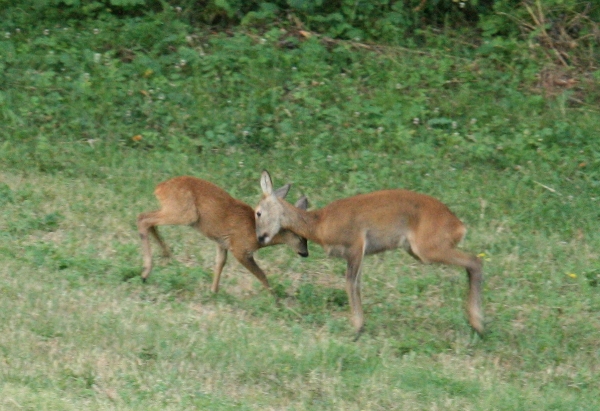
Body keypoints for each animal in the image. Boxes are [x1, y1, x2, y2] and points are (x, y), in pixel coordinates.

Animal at [138, 175, 308, 294]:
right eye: (298, 235)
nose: (305, 253)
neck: (254, 231)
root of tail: (159, 188)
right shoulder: (240, 249)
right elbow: (262, 275)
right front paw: (276, 301)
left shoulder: (222, 243)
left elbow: (220, 262)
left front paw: (213, 291)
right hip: (185, 213)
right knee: (143, 218)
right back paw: (145, 273)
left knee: (147, 219)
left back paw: (165, 257)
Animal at [253, 171, 482, 338]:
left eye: (258, 212)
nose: (260, 238)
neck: (321, 224)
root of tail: (459, 226)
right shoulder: (359, 252)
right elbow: (357, 285)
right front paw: (360, 326)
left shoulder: (356, 244)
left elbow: (350, 284)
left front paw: (356, 329)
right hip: (419, 249)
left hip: (428, 246)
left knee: (475, 260)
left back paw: (478, 324)